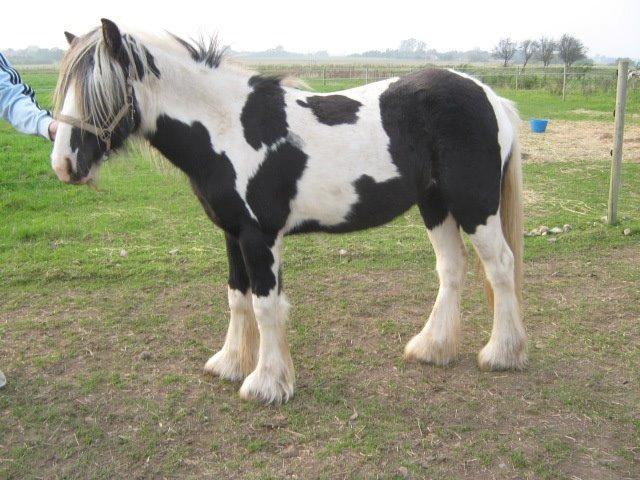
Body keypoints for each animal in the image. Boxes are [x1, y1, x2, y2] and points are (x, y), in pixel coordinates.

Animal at [51, 19, 524, 404]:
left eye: (100, 89)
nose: (64, 164)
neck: (225, 127)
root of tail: (490, 96)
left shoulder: (260, 236)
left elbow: (266, 306)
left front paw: (267, 384)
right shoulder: (232, 233)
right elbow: (236, 297)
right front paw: (230, 363)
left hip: (475, 206)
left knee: (500, 267)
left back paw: (502, 354)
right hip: (436, 205)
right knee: (451, 268)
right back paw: (433, 348)